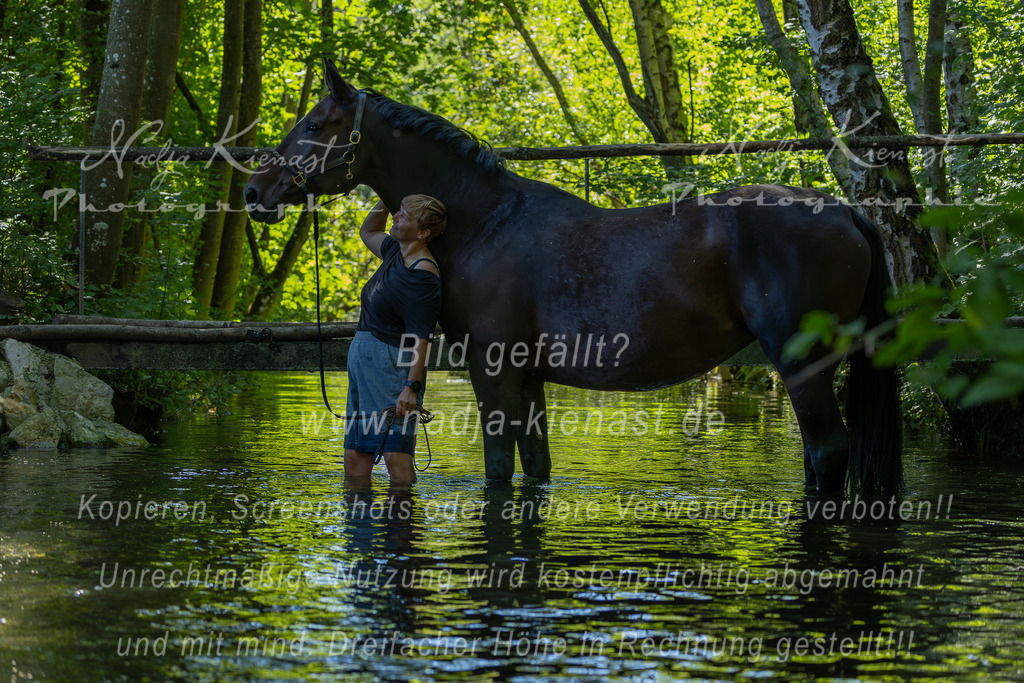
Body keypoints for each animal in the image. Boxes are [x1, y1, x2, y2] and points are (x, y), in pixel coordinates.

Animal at [245, 58, 902, 496]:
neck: (484, 224)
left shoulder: (492, 370)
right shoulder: (529, 376)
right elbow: (535, 466)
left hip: (804, 365)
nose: (255, 194)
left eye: (314, 125)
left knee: (827, 454)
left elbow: (498, 468)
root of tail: (845, 211)